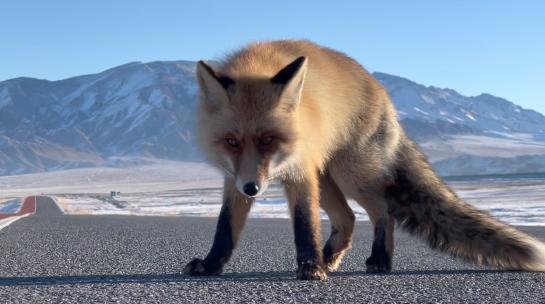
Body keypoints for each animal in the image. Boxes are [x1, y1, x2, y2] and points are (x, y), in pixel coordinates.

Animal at [183, 39, 544, 280]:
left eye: (268, 140)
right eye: (231, 142)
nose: (253, 189)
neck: (259, 64)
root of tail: (383, 93)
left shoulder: (300, 171)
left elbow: (305, 223)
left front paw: (310, 267)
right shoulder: (233, 176)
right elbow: (225, 228)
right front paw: (211, 265)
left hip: (349, 173)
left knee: (383, 212)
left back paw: (379, 259)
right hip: (327, 177)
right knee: (347, 218)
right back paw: (330, 257)